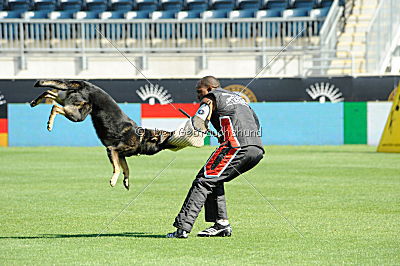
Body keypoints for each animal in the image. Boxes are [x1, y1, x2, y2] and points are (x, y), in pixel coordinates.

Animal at [30, 80, 177, 190]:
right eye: (167, 136)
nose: (174, 133)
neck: (142, 138)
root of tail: (85, 84)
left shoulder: (120, 155)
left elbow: (126, 168)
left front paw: (126, 181)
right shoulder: (112, 150)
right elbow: (117, 168)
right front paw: (113, 181)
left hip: (67, 101)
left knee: (50, 93)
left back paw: (35, 102)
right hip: (79, 114)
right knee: (55, 107)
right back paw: (49, 123)